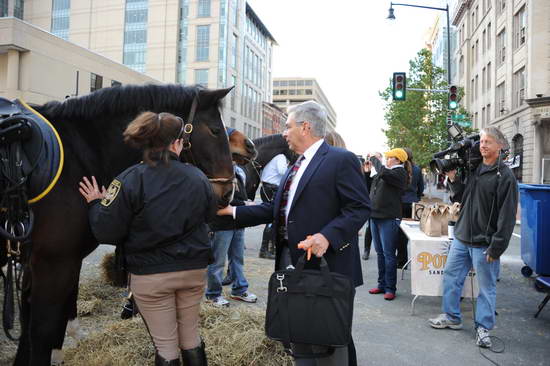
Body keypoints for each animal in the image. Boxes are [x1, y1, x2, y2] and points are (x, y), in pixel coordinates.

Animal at [0, 83, 246, 366]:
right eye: (216, 130)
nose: (228, 193)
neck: (77, 156)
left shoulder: (36, 263)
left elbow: (29, 329)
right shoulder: (54, 264)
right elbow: (43, 332)